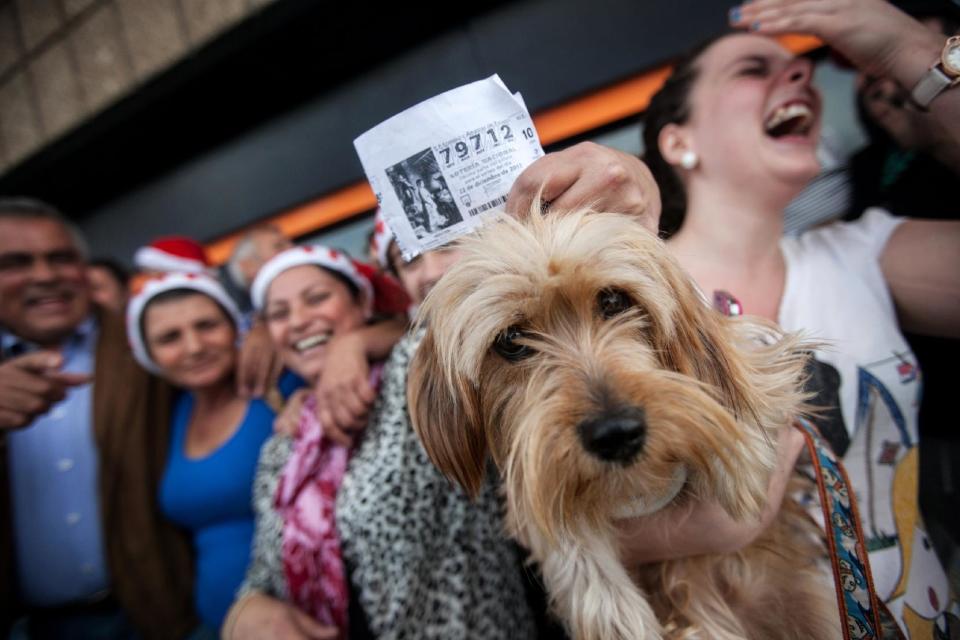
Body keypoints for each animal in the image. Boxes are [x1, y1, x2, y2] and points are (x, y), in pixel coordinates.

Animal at [406, 209, 840, 640]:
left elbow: (751, 380)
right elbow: (553, 522)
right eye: (511, 340)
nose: (615, 434)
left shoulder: (753, 352)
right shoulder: (532, 473)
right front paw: (615, 613)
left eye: (613, 300)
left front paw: (738, 454)